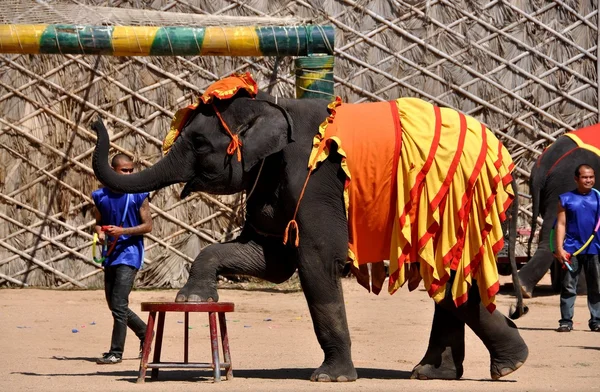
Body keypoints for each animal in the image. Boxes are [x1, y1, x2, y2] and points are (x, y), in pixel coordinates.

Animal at [91, 72, 528, 380]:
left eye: (198, 144)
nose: (96, 121)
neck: (274, 105)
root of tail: (508, 157)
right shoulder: (270, 179)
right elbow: (269, 259)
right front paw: (192, 299)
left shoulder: (314, 181)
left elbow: (316, 261)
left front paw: (329, 378)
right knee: (450, 278)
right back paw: (447, 371)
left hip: (461, 203)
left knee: (454, 277)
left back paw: (506, 366)